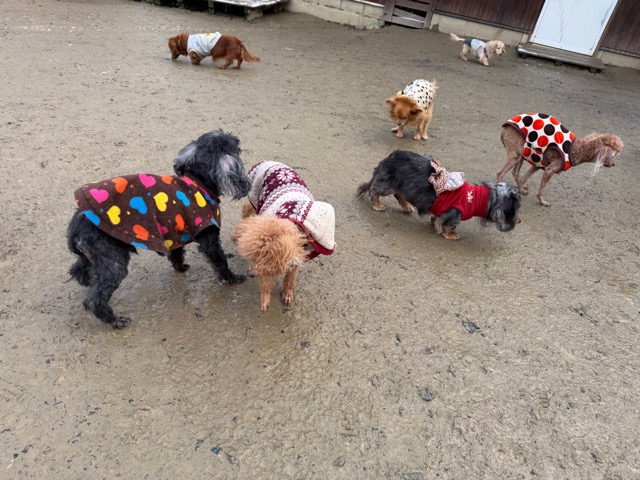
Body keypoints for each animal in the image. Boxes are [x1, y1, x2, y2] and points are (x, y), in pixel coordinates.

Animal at [67, 130, 251, 329]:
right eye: (235, 145)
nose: (238, 138)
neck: (199, 182)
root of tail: (78, 221)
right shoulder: (209, 238)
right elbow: (220, 261)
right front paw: (231, 278)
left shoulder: (176, 233)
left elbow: (176, 254)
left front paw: (180, 268)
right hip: (114, 261)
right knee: (94, 299)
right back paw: (114, 320)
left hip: (94, 255)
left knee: (78, 270)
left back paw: (87, 281)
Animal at [232, 161, 336, 311]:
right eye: (253, 256)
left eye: (263, 257)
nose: (249, 274)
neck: (294, 219)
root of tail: (267, 161)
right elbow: (266, 281)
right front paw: (265, 297)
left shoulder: (297, 255)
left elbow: (290, 278)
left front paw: (287, 293)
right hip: (255, 197)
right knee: (247, 208)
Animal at [357, 151, 521, 240]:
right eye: (515, 210)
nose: (519, 222)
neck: (475, 198)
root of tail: (391, 156)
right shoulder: (454, 214)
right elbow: (449, 225)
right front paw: (451, 234)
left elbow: (437, 218)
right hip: (387, 185)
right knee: (374, 190)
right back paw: (376, 205)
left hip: (401, 185)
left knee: (398, 194)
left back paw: (407, 206)